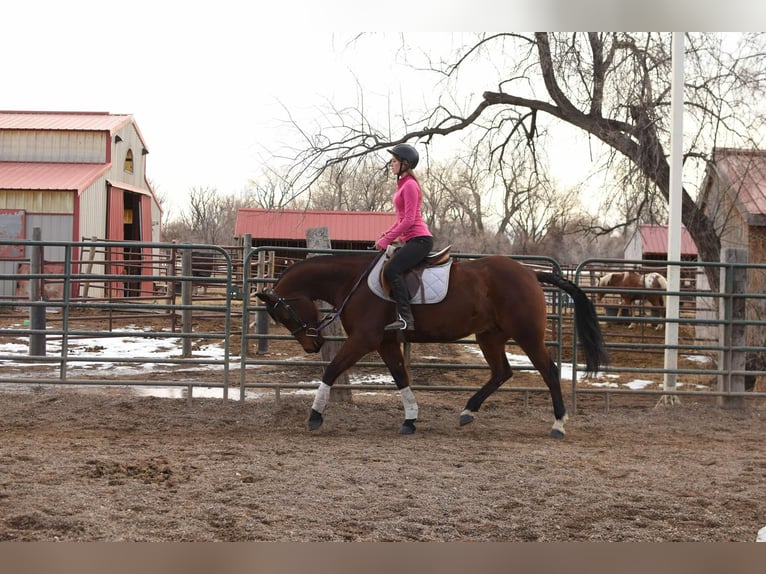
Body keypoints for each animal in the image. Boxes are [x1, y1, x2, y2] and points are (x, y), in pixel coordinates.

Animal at [258, 254, 612, 438]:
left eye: (283, 315)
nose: (312, 345)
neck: (352, 283)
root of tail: (530, 273)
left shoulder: (364, 339)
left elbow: (331, 370)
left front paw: (315, 416)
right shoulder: (385, 342)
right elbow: (401, 378)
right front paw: (410, 419)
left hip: (527, 335)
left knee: (549, 371)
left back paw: (558, 424)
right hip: (489, 336)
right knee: (501, 372)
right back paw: (468, 411)